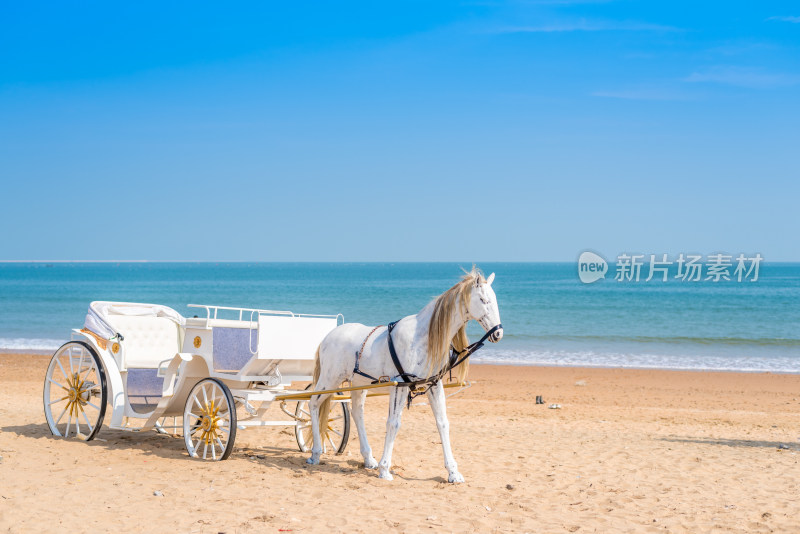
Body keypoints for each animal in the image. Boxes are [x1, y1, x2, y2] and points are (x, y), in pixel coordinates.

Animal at [304, 270, 500, 484]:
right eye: (483, 300)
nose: (498, 333)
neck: (422, 337)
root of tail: (327, 338)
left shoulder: (433, 385)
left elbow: (443, 423)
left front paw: (453, 472)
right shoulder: (400, 386)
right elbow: (393, 423)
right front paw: (385, 469)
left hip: (359, 384)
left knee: (357, 412)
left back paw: (368, 458)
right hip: (329, 380)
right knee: (313, 404)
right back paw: (315, 453)